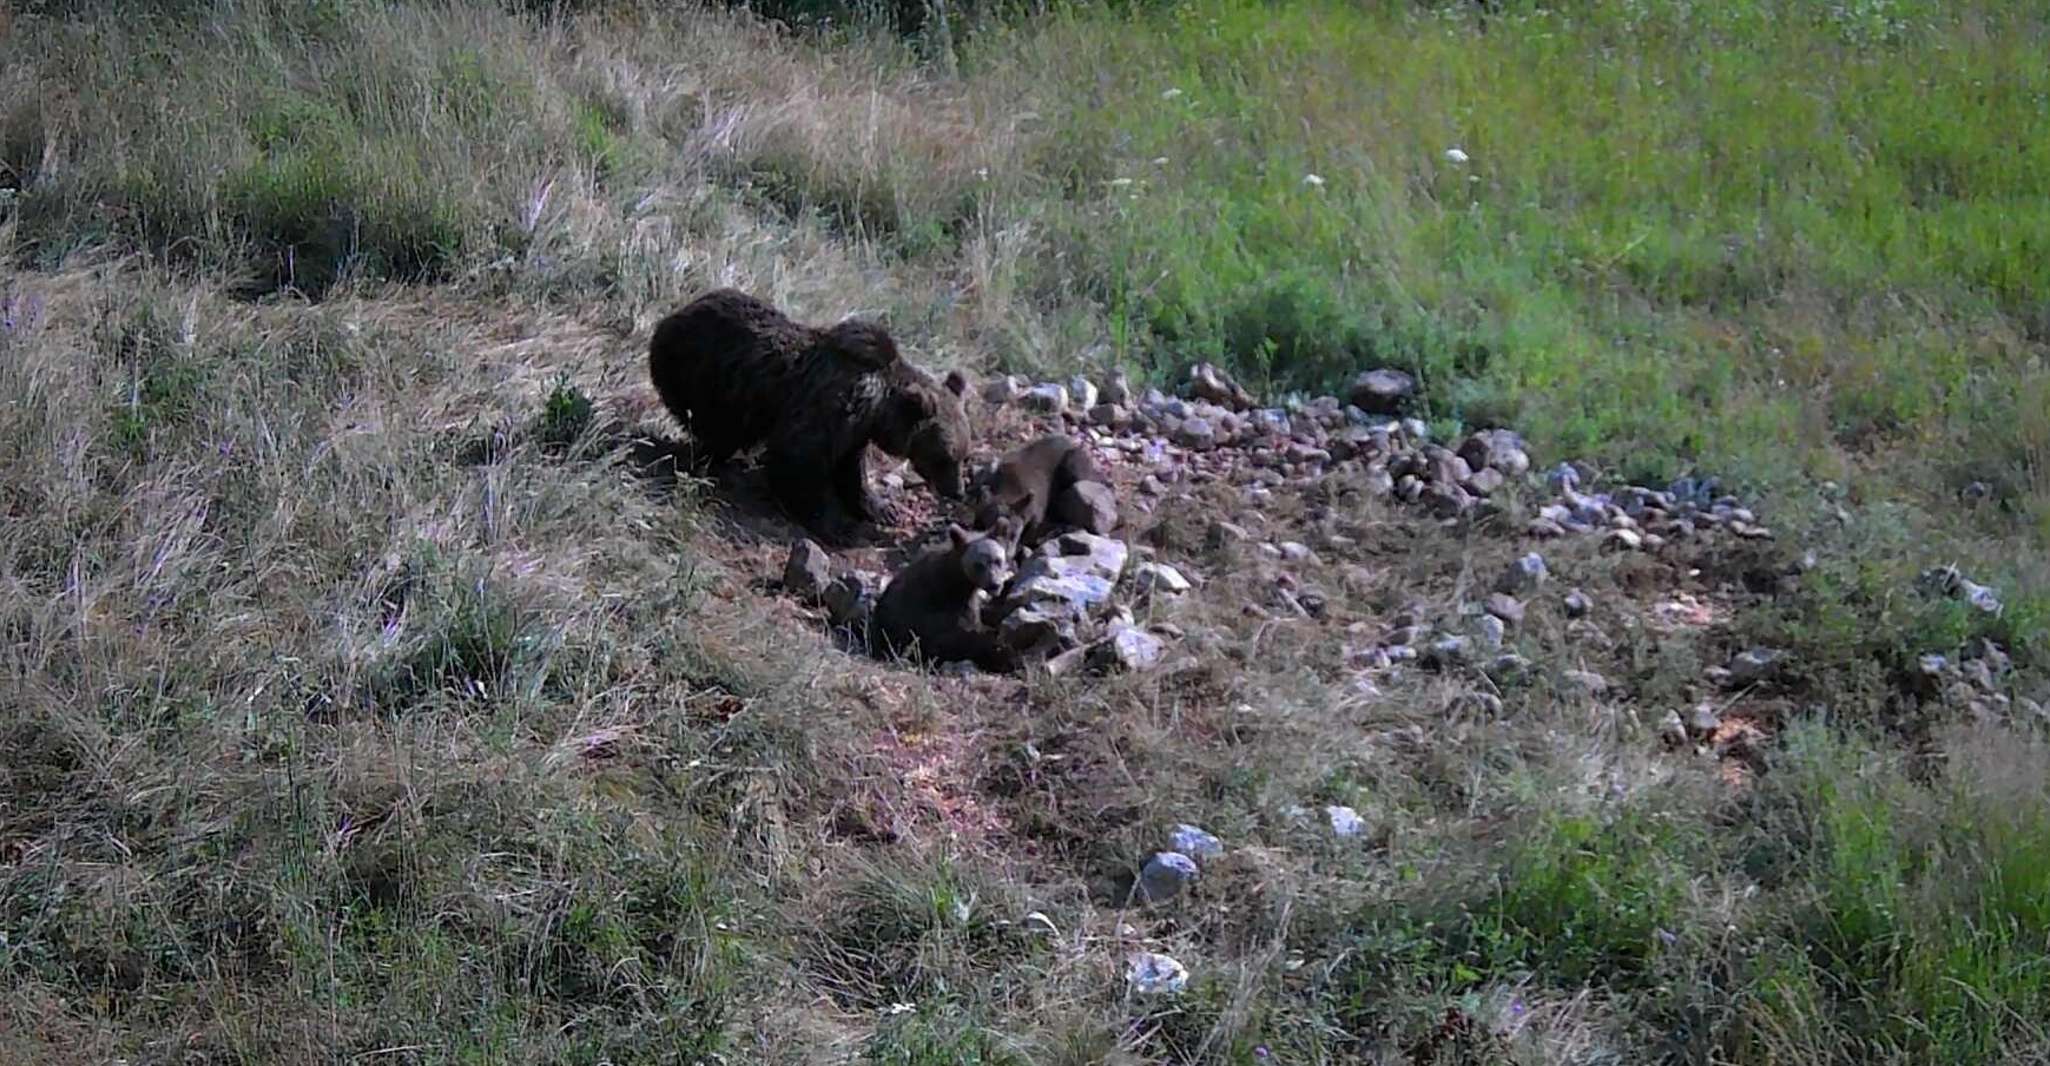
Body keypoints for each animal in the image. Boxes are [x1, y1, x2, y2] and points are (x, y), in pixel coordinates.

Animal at [656, 287, 975, 541]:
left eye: (963, 454)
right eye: (944, 457)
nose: (957, 491)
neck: (877, 407)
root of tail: (676, 313)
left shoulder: (855, 431)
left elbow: (851, 470)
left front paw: (881, 508)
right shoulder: (831, 405)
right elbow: (799, 457)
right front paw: (837, 525)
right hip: (707, 377)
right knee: (720, 429)